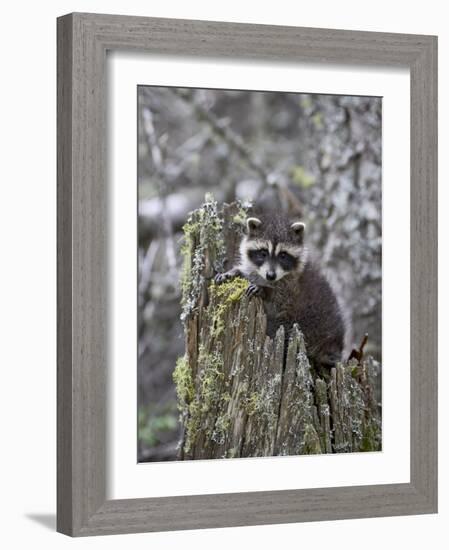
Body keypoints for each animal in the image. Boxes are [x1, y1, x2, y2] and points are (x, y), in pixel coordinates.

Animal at [215, 213, 344, 368]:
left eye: (283, 255)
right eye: (263, 253)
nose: (271, 275)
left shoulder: (292, 287)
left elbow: (279, 300)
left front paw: (264, 290)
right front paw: (234, 272)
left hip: (310, 324)